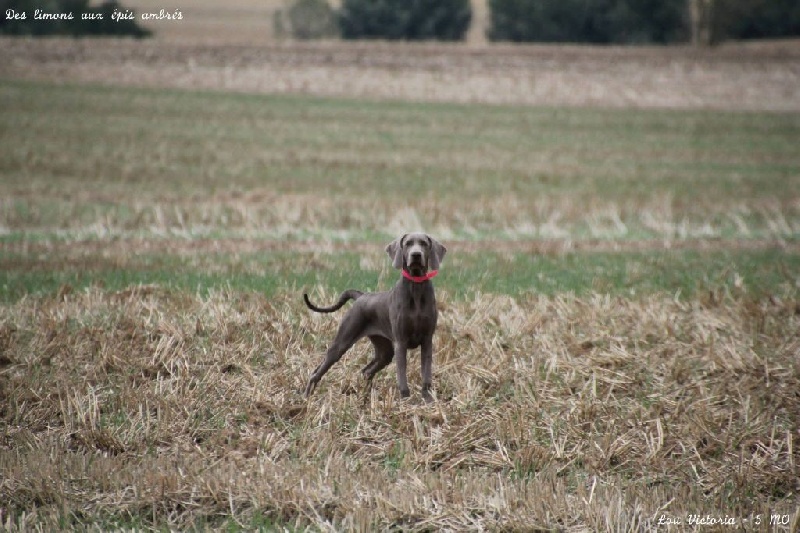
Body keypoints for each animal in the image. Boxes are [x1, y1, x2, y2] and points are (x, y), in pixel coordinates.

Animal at [304, 231, 446, 402]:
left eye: (424, 243)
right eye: (408, 244)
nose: (416, 255)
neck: (416, 286)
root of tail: (360, 296)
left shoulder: (427, 340)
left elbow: (426, 373)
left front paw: (428, 399)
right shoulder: (401, 342)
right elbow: (402, 375)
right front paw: (405, 400)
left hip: (384, 351)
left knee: (366, 371)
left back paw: (365, 399)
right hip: (342, 342)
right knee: (316, 372)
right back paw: (305, 398)